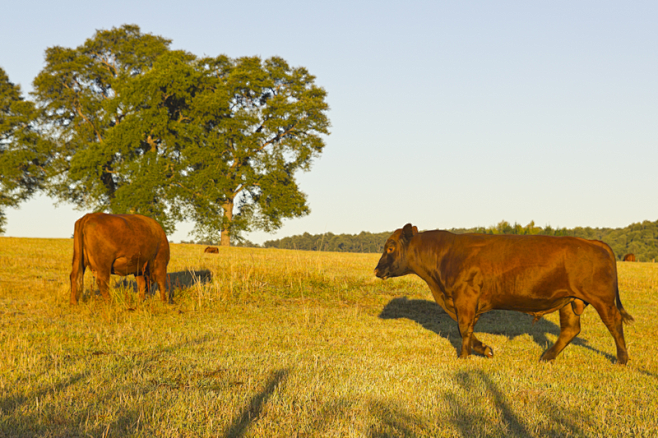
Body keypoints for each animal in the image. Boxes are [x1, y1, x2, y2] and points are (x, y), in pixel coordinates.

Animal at [376, 224, 632, 364]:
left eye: (390, 247)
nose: (377, 270)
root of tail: (593, 242)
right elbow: (467, 328)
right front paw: (483, 350)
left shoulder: (465, 297)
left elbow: (463, 327)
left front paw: (464, 356)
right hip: (569, 302)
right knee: (570, 329)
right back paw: (546, 357)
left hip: (602, 299)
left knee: (614, 323)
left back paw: (622, 360)